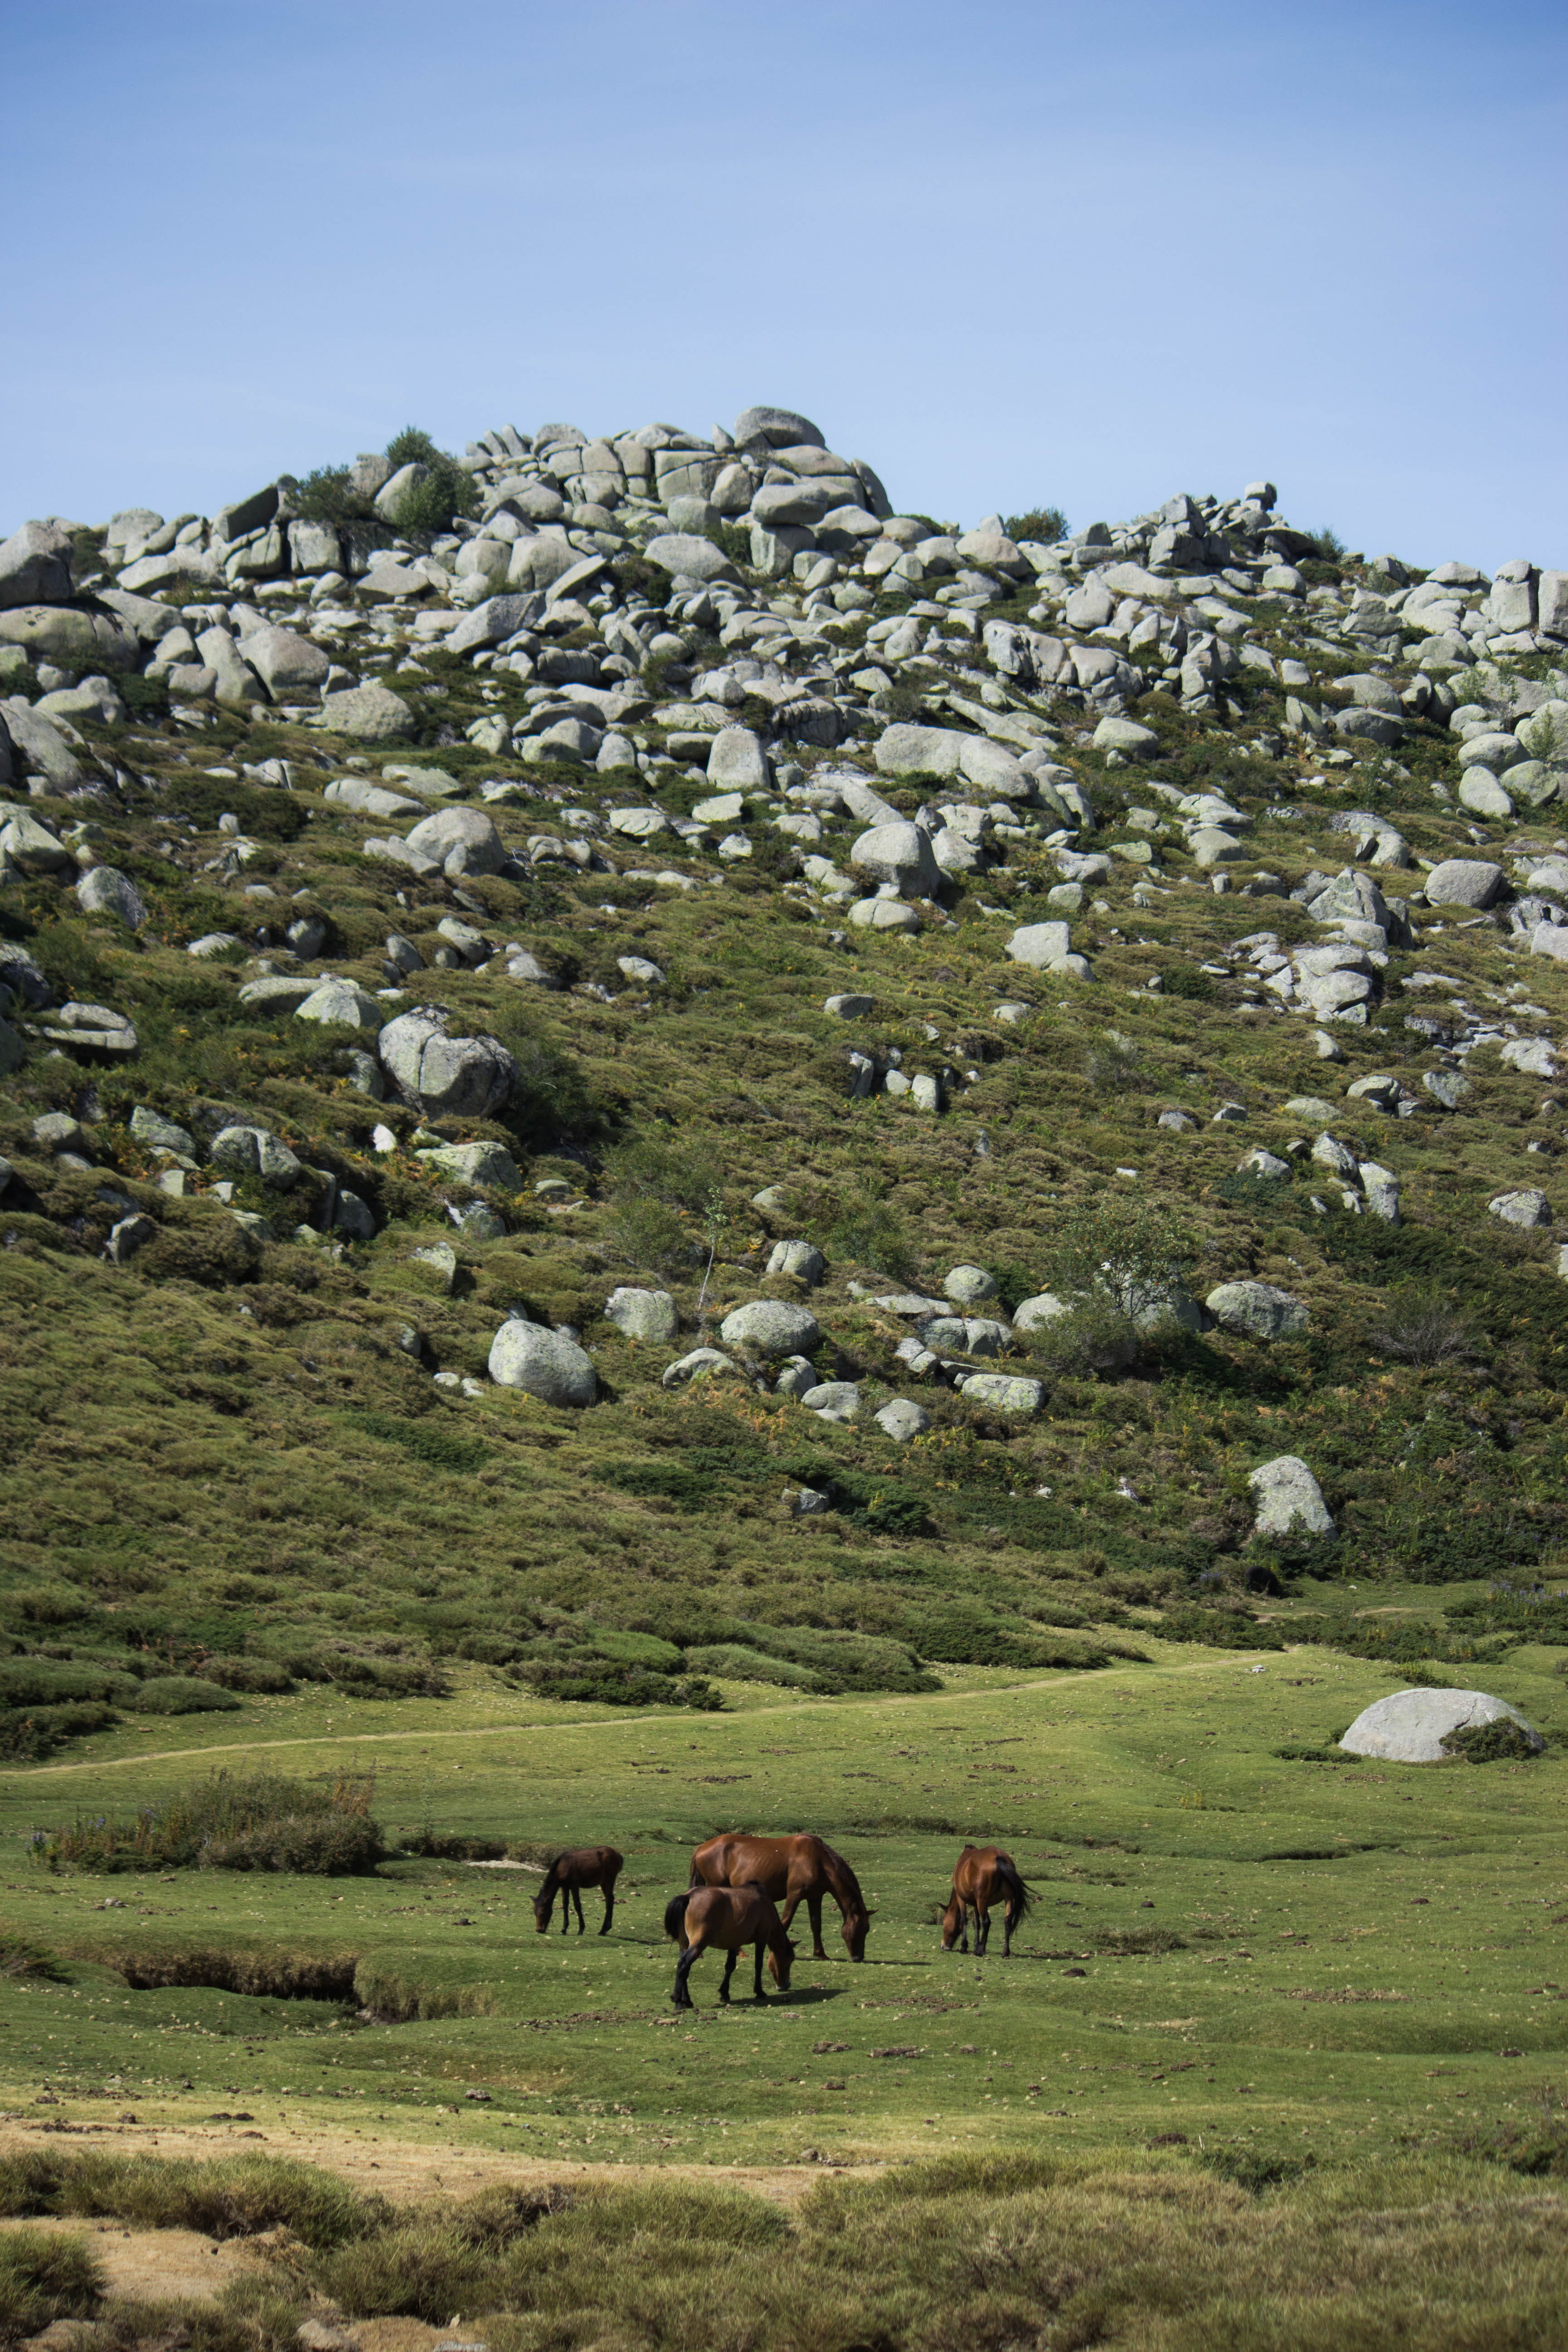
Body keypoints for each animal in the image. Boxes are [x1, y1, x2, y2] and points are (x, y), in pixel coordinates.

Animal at [532, 1846, 623, 1936]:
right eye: (534, 1912)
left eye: (543, 1911)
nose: (539, 1930)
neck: (561, 1869)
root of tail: (619, 1856)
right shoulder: (564, 1886)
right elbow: (565, 1904)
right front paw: (564, 1930)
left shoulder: (574, 1885)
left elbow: (577, 1905)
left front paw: (581, 1929)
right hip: (603, 1881)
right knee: (610, 1899)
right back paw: (604, 1929)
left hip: (610, 1878)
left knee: (610, 1900)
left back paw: (603, 1930)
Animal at [664, 1886, 795, 2008]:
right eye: (791, 1960)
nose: (786, 1985)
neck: (765, 1903)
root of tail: (689, 1896)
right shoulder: (761, 1940)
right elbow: (758, 1965)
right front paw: (759, 1992)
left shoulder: (734, 1943)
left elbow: (730, 1967)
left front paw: (725, 1993)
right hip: (699, 1943)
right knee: (684, 1964)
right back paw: (678, 2000)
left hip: (684, 1944)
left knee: (684, 1968)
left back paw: (686, 2001)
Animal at [688, 1831, 870, 1961]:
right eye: (862, 1929)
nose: (858, 1958)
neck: (818, 1860)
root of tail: (702, 1847)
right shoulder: (795, 1895)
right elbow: (786, 1921)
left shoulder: (815, 1897)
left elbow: (816, 1925)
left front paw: (821, 1954)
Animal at [940, 1845, 1031, 1957]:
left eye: (944, 1923)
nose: (943, 1946)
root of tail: (998, 1858)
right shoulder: (976, 1903)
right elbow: (976, 1923)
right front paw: (976, 1945)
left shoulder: (962, 1899)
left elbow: (964, 1920)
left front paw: (964, 1947)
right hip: (1008, 1899)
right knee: (1007, 1921)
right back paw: (1005, 1952)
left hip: (982, 1901)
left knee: (987, 1922)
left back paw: (981, 1950)